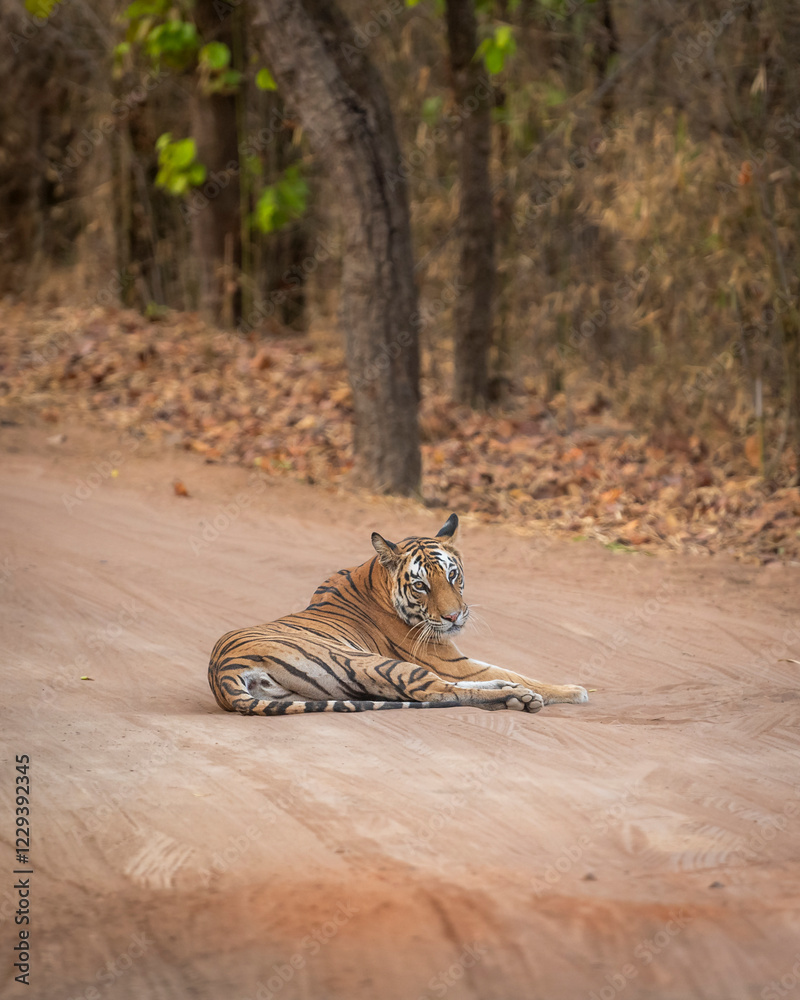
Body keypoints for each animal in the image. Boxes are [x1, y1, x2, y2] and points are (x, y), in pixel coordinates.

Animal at [208, 513, 589, 716]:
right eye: (421, 586)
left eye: (452, 575)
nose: (454, 618)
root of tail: (222, 672)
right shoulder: (448, 659)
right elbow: (517, 672)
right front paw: (573, 690)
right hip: (372, 662)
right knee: (438, 692)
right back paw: (516, 697)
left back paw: (509, 691)